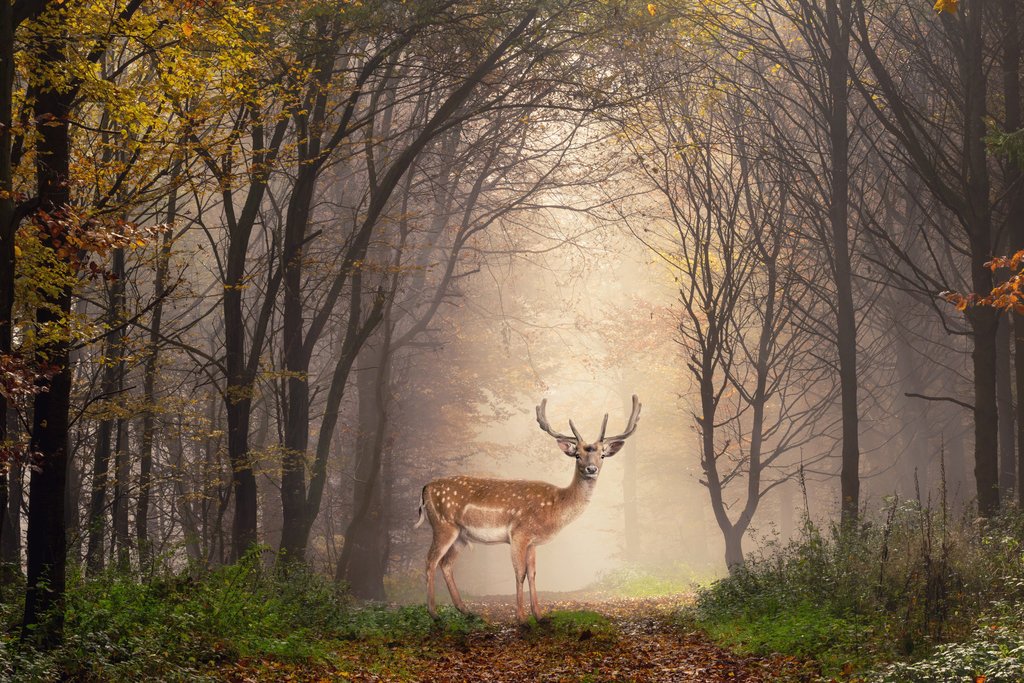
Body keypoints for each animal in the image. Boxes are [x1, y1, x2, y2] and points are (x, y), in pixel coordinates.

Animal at [415, 395, 641, 622]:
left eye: (602, 455)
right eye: (577, 455)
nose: (591, 469)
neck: (555, 506)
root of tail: (425, 488)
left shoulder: (533, 542)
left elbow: (532, 574)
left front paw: (539, 616)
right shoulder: (519, 533)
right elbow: (520, 573)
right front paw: (521, 618)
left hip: (461, 535)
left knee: (446, 564)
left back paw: (466, 611)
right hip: (443, 525)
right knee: (430, 560)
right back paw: (434, 613)